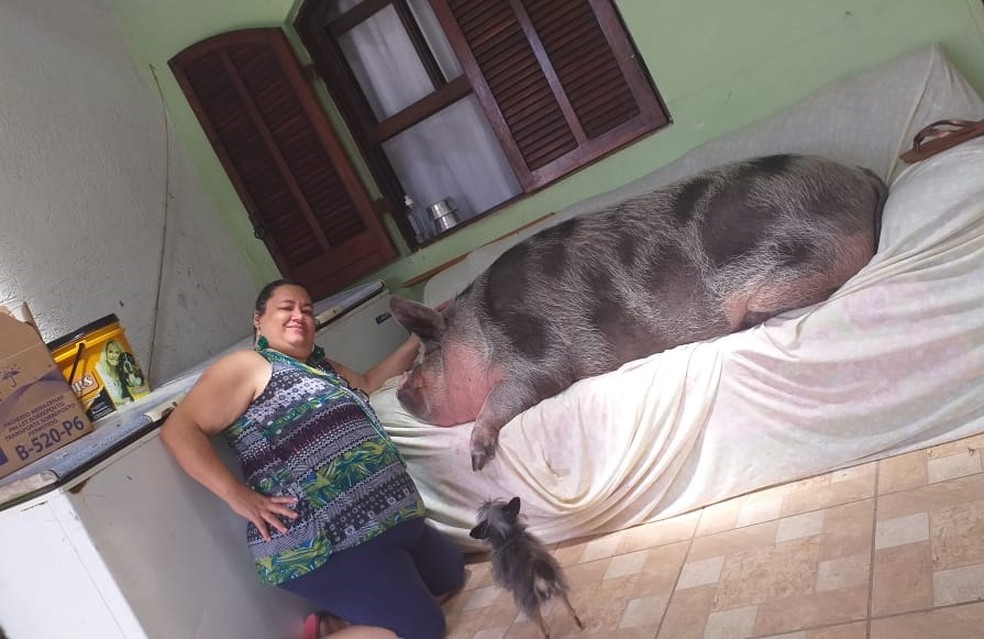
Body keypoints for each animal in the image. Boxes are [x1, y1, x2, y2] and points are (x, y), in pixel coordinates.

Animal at [390, 154, 887, 471]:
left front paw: (476, 460)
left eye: (426, 356)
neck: (480, 329)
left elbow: (503, 397)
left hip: (798, 259)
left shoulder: (539, 356)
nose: (399, 392)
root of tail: (863, 177)